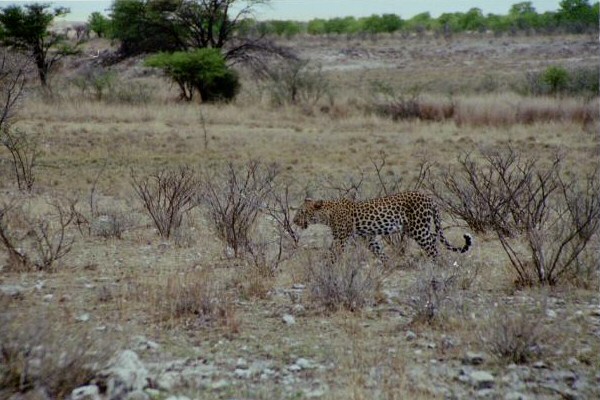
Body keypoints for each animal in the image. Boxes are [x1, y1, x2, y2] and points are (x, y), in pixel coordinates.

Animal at [292, 190, 472, 260]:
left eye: (302, 212)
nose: (294, 221)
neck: (327, 214)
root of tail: (429, 197)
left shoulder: (341, 238)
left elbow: (333, 254)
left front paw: (328, 267)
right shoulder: (368, 238)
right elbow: (378, 252)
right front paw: (388, 264)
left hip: (418, 229)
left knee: (432, 246)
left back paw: (436, 265)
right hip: (419, 228)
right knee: (434, 239)